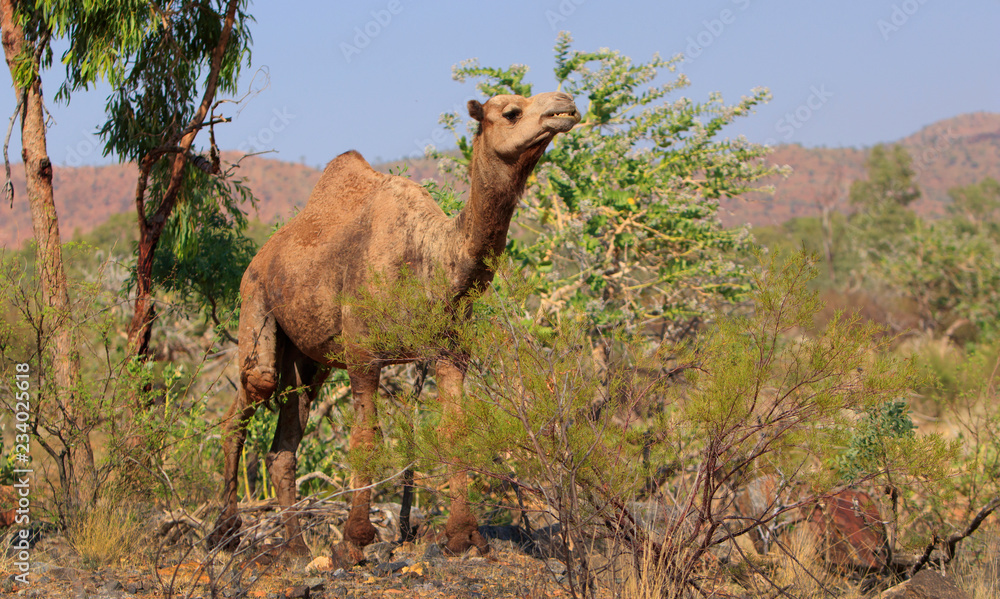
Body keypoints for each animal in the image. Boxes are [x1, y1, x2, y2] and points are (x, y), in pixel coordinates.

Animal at [209, 91, 580, 558]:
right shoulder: (363, 352)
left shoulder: (451, 352)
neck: (430, 260)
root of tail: (262, 255)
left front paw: (464, 536)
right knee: (248, 397)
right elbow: (365, 436)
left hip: (309, 359)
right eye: (511, 112)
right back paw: (225, 532)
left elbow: (454, 430)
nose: (565, 105)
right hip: (255, 301)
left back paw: (295, 548)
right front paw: (355, 538)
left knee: (283, 446)